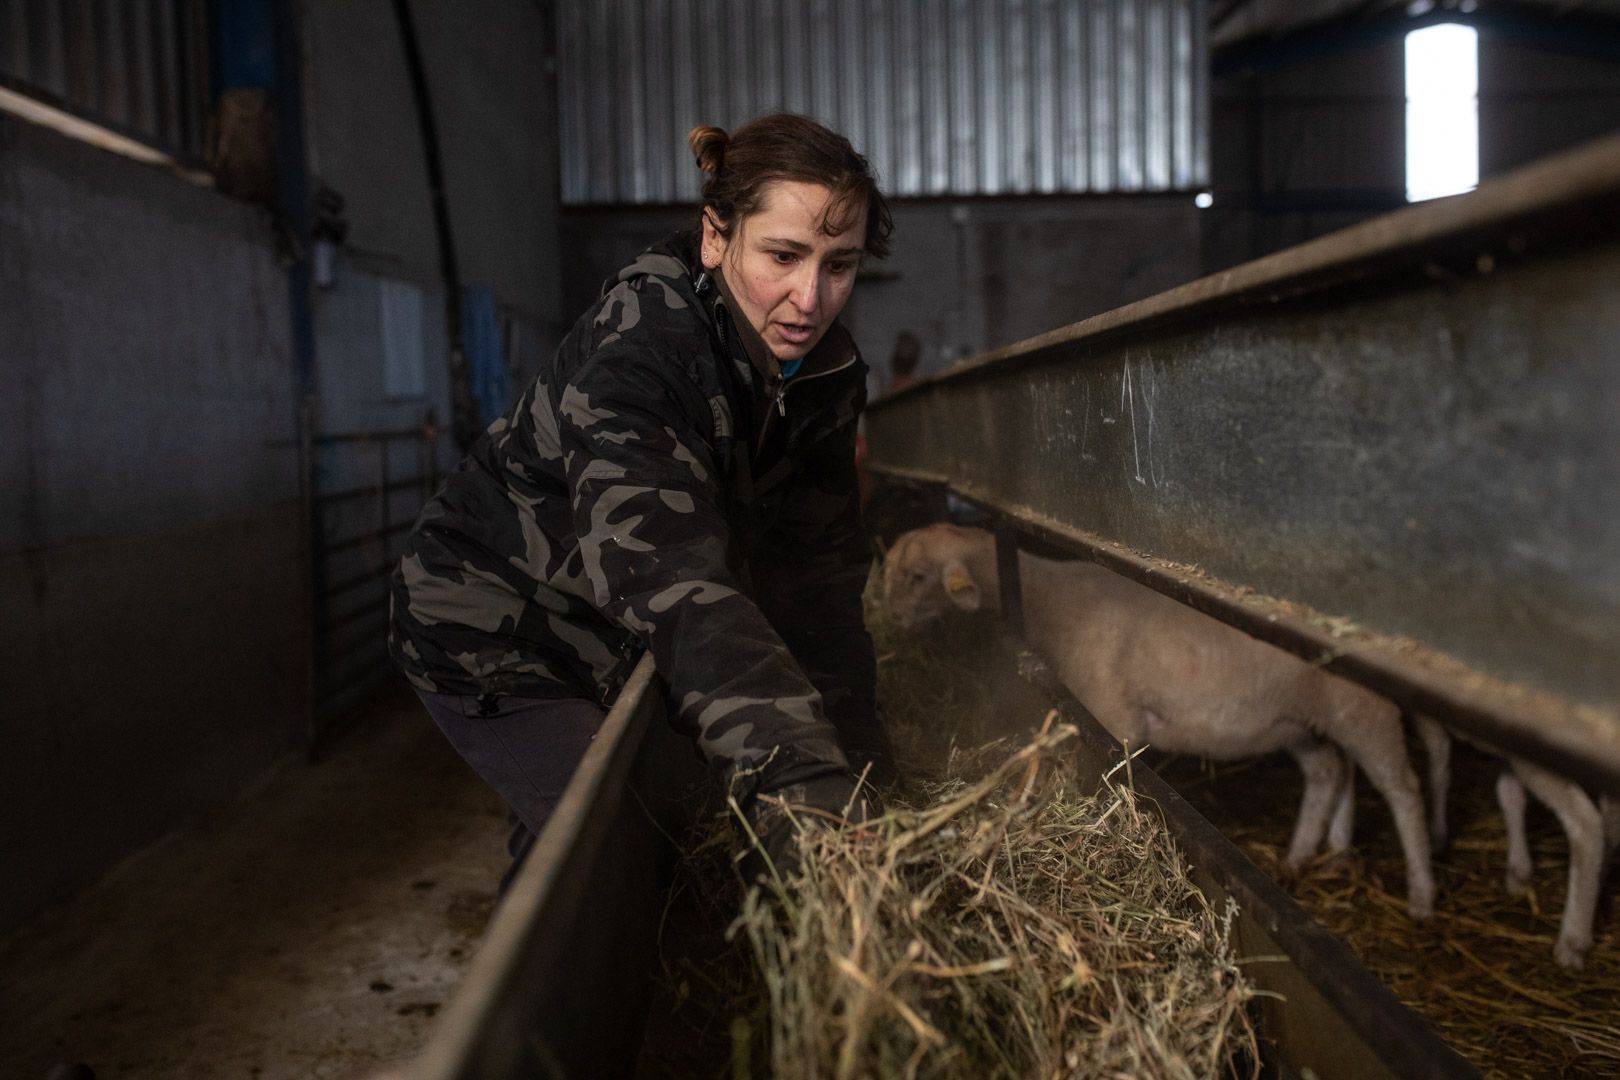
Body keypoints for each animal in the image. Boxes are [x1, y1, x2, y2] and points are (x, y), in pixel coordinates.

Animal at [887, 524, 1445, 919]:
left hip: (1362, 710)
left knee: (1402, 789)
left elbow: (1110, 784)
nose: (890, 617)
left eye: (918, 577)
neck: (1053, 604)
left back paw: (1420, 894)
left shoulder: (1112, 717)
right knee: (1331, 770)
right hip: (1296, 718)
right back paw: (1307, 853)